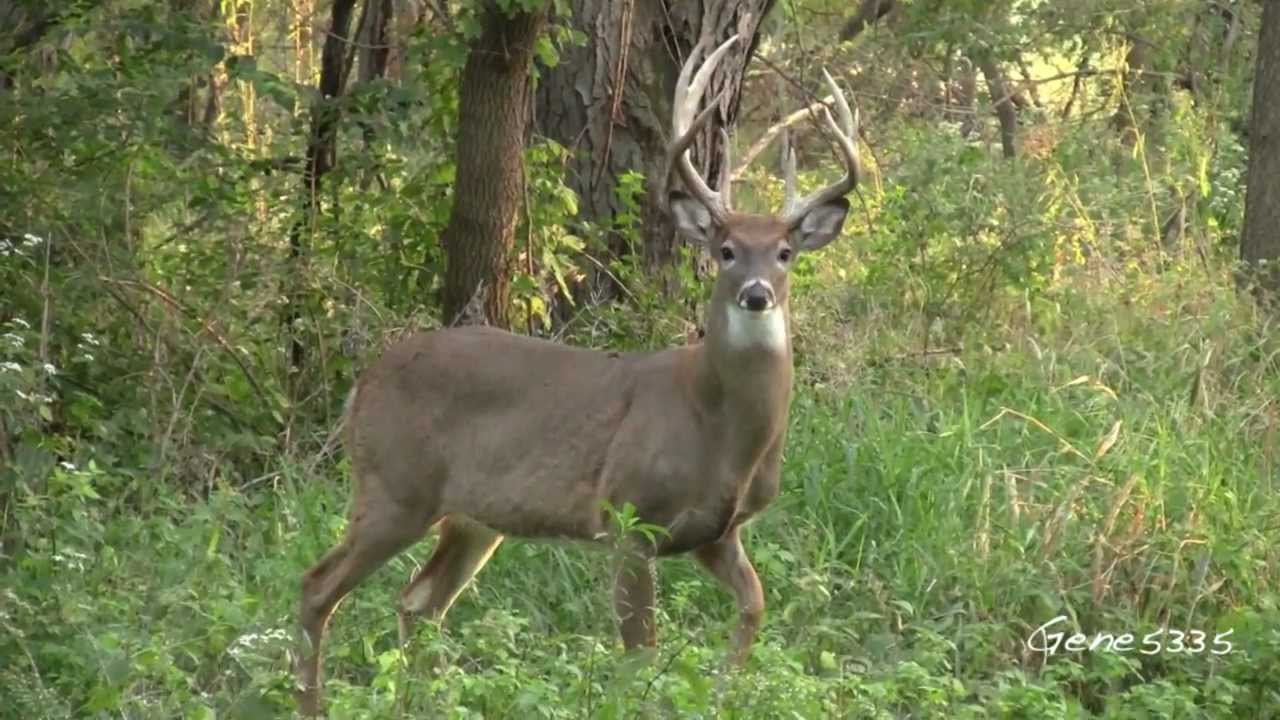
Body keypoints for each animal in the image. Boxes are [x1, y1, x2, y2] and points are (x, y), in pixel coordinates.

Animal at [296, 33, 861, 715]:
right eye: (725, 250)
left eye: (784, 252)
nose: (757, 294)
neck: (721, 429)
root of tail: (364, 383)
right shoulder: (627, 517)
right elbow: (639, 654)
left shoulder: (717, 534)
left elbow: (754, 608)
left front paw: (725, 692)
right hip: (394, 485)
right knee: (317, 586)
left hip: (473, 517)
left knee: (419, 601)